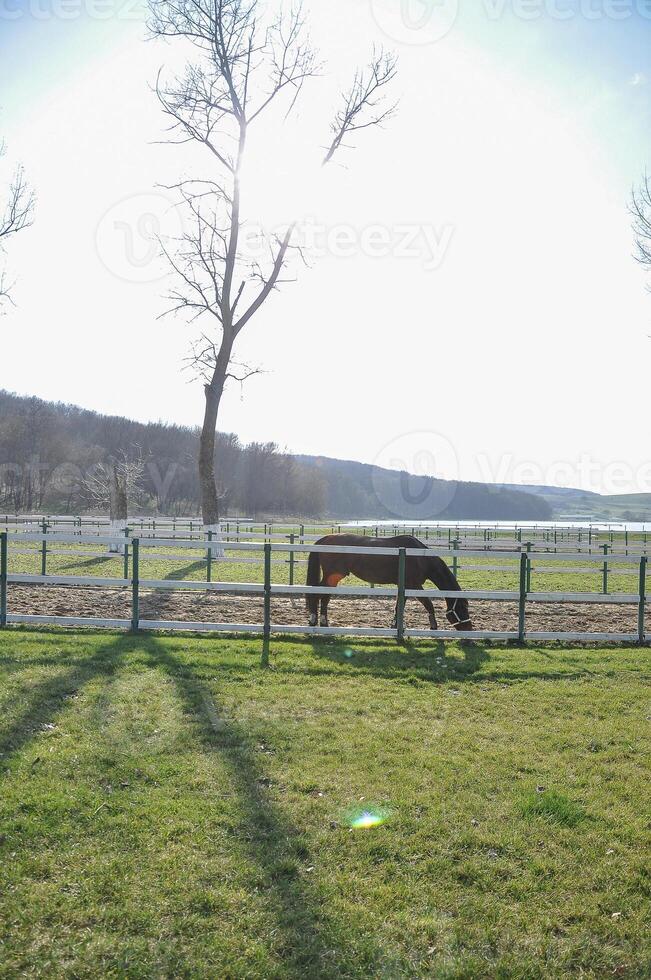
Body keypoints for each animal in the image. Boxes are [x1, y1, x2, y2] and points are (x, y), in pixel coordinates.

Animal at [306, 532, 474, 632]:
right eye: (462, 608)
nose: (469, 630)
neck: (420, 557)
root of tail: (325, 539)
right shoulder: (414, 585)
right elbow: (428, 603)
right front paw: (434, 626)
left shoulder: (404, 586)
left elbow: (399, 605)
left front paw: (395, 625)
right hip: (332, 576)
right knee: (319, 594)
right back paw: (317, 620)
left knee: (322, 595)